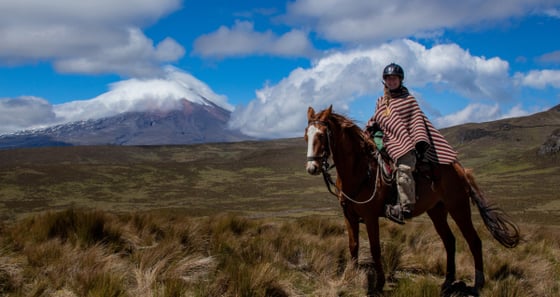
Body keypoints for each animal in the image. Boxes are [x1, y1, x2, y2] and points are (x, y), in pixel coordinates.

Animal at [304, 105, 520, 294]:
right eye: (306, 135)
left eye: (321, 135)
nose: (312, 168)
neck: (360, 170)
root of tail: (460, 169)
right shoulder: (348, 214)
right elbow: (353, 246)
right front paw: (350, 277)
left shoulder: (371, 216)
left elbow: (375, 248)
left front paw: (379, 284)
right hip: (437, 210)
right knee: (449, 241)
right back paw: (447, 282)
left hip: (458, 207)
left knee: (473, 241)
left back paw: (477, 285)